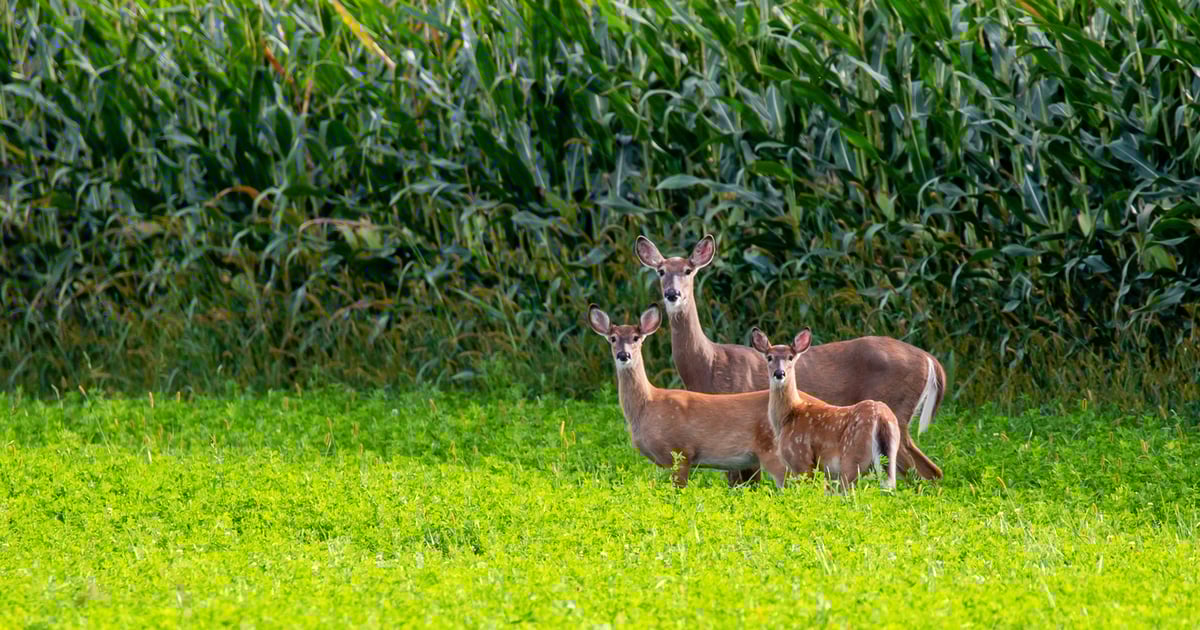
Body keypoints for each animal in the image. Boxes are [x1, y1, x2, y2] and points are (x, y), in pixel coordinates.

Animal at [751, 327, 900, 492]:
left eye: (790, 357)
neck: (788, 416)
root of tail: (880, 417)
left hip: (852, 455)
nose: (779, 373)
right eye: (769, 357)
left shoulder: (801, 459)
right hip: (889, 456)